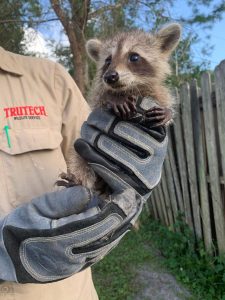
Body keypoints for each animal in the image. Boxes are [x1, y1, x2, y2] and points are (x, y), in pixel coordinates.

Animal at [58, 24, 181, 191]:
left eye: (134, 57)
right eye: (108, 60)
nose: (110, 76)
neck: (129, 88)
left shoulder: (155, 92)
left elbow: (164, 99)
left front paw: (168, 112)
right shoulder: (98, 95)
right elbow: (99, 98)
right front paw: (113, 98)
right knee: (79, 159)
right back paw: (78, 179)